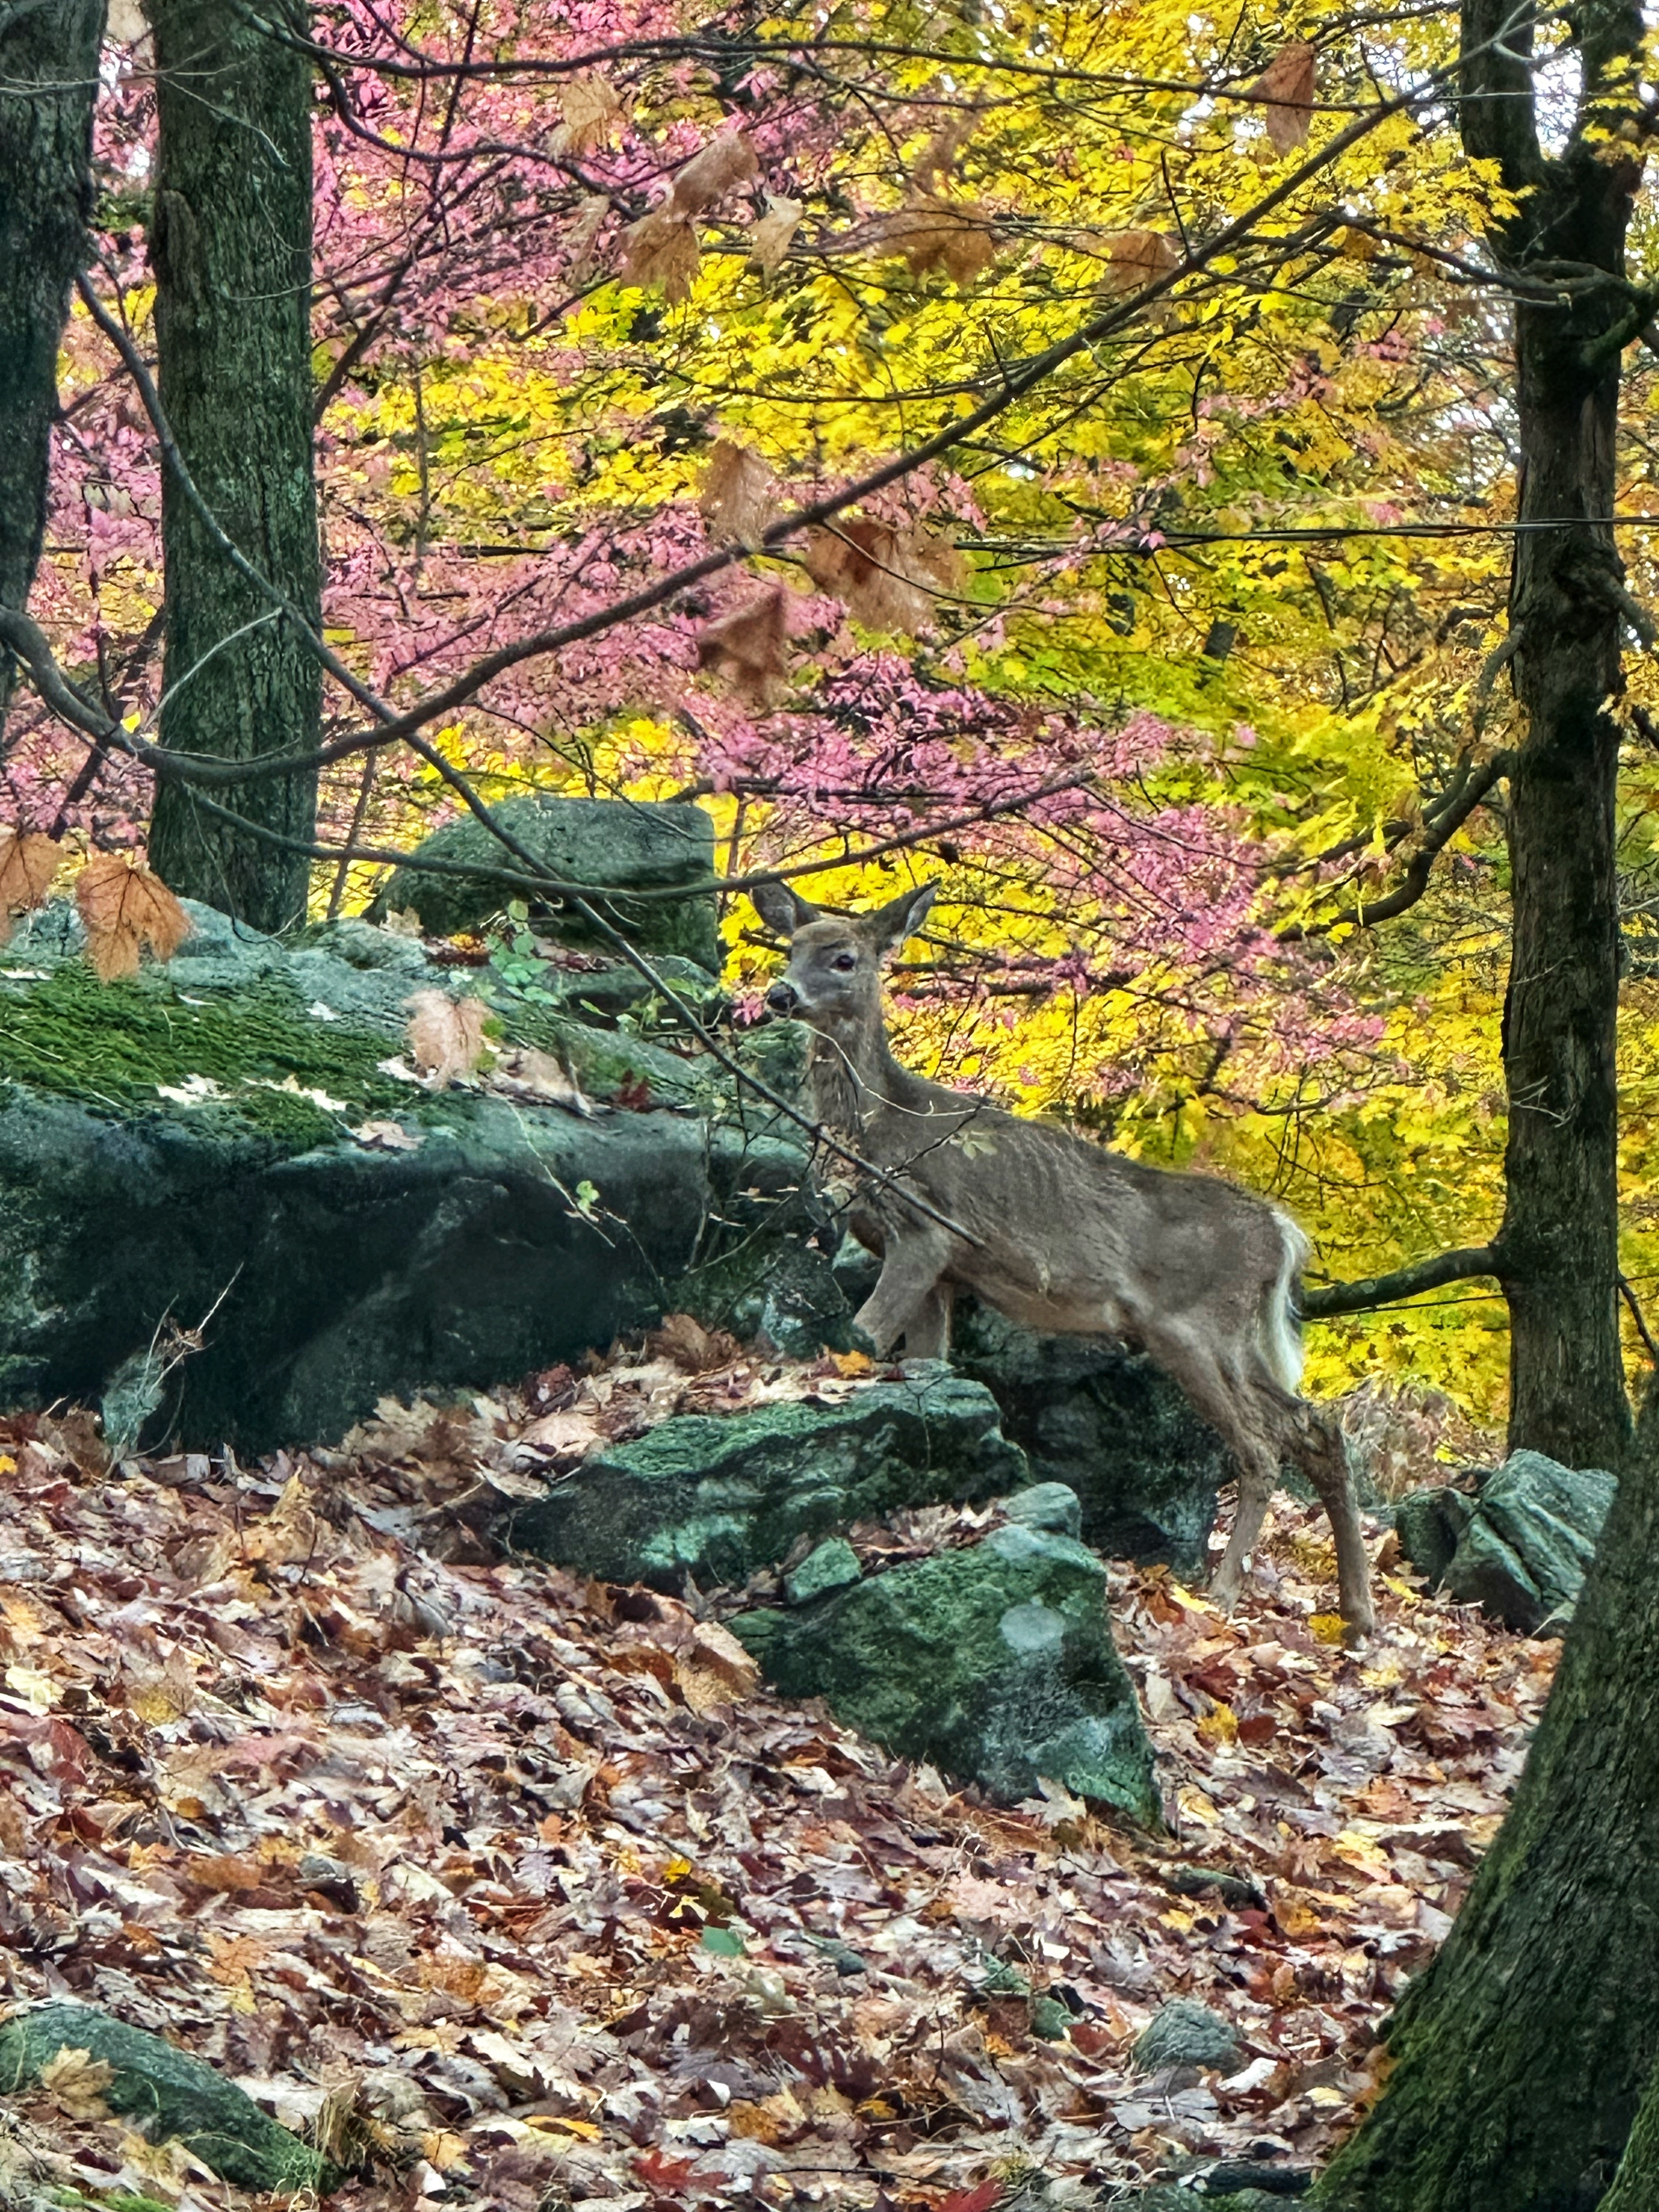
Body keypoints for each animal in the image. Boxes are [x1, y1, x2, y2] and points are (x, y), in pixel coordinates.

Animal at [754, 877, 1376, 1641]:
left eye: (843, 958)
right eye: (789, 948)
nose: (780, 995)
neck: (882, 1127)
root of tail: (1282, 1231)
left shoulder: (928, 1231)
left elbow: (866, 1335)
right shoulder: (945, 1271)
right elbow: (926, 1362)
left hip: (1193, 1326)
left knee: (1262, 1447)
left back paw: (1225, 1593)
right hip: (1237, 1339)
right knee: (1316, 1427)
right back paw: (1358, 1614)